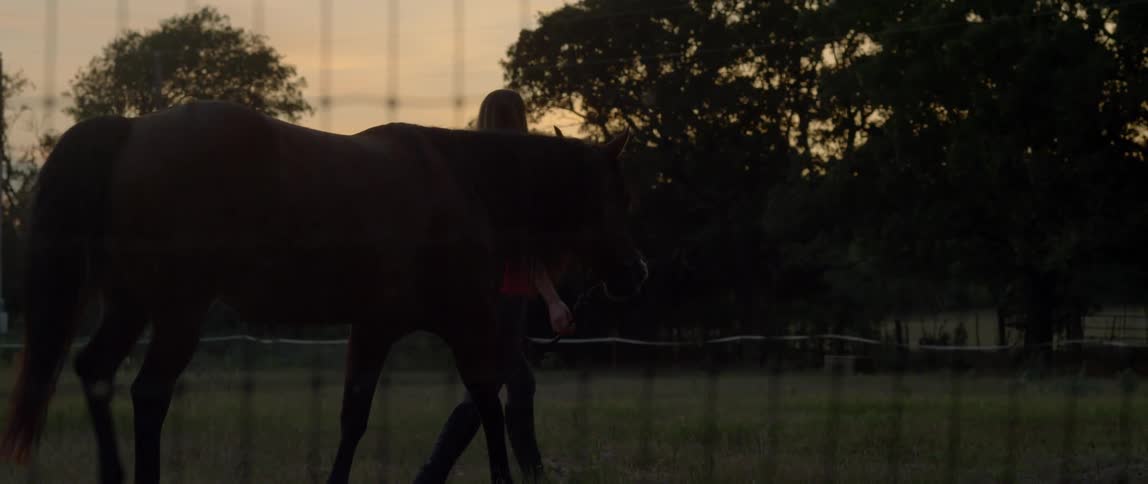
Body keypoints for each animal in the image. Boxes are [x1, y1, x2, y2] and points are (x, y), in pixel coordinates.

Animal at [0, 100, 647, 484]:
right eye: (617, 194)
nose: (635, 272)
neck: (463, 182)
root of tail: (132, 131)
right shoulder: (465, 321)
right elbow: (488, 402)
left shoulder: (375, 327)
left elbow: (353, 417)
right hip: (179, 311)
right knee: (148, 393)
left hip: (134, 304)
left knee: (95, 371)